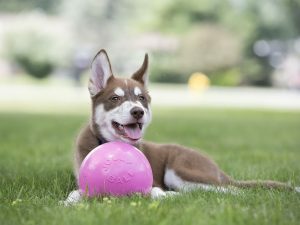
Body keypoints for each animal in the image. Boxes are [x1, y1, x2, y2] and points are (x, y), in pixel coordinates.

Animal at [63, 49, 298, 206]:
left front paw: (163, 195)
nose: (138, 111)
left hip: (180, 171)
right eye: (115, 98)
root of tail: (213, 166)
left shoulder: (156, 182)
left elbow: (154, 190)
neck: (107, 142)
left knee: (227, 190)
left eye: (141, 98)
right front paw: (69, 201)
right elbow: (75, 193)